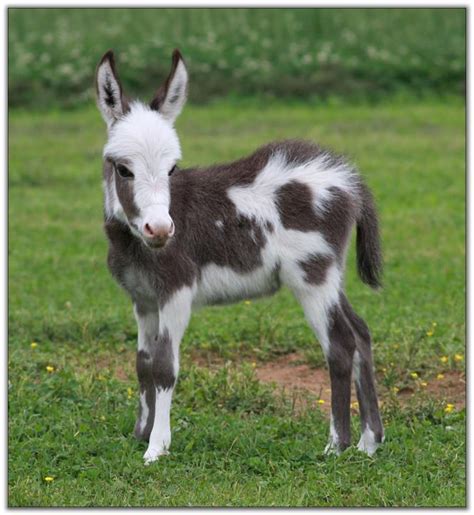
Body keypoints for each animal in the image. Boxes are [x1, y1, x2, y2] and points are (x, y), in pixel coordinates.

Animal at [95, 50, 386, 466]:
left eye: (172, 168)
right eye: (123, 169)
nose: (161, 230)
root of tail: (348, 179)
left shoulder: (177, 292)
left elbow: (165, 367)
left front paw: (156, 448)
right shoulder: (143, 299)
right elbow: (143, 364)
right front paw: (140, 434)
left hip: (311, 276)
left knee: (340, 344)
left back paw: (336, 445)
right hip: (329, 275)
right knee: (360, 332)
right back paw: (369, 442)